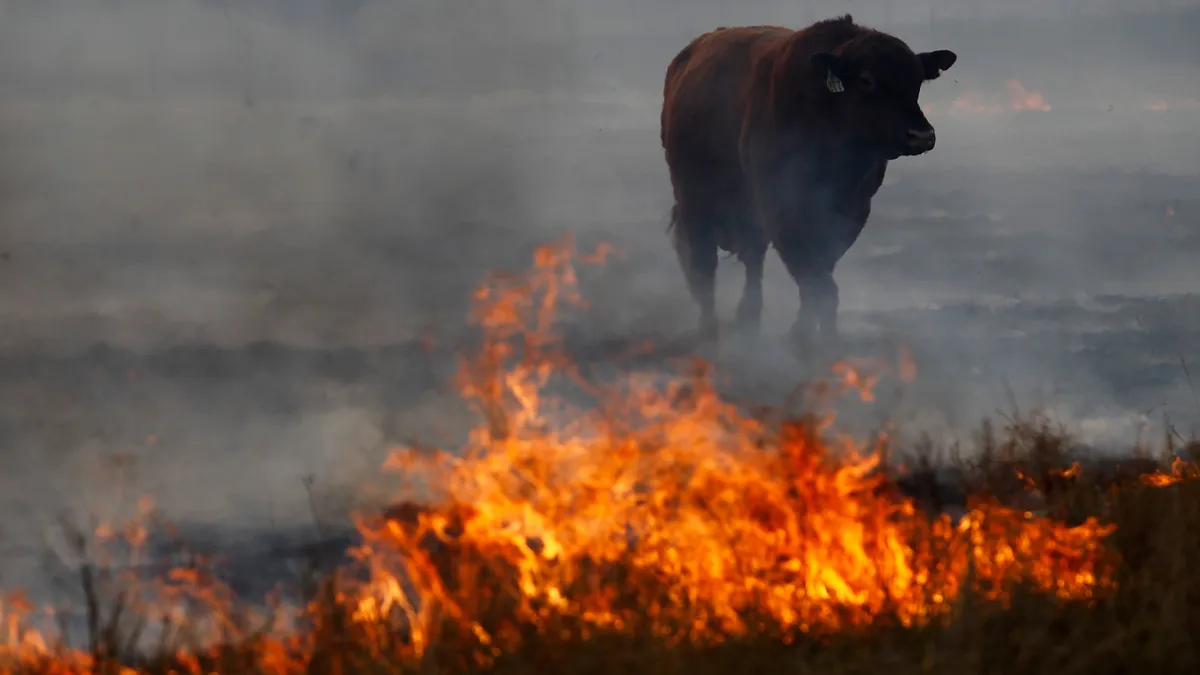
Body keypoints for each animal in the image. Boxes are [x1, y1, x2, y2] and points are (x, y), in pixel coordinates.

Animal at [657, 13, 955, 348]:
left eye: (917, 80)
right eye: (867, 80)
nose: (922, 135)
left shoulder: (850, 213)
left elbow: (820, 272)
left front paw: (805, 334)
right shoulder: (784, 208)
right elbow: (814, 277)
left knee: (751, 259)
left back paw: (748, 317)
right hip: (694, 202)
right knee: (704, 266)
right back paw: (710, 330)